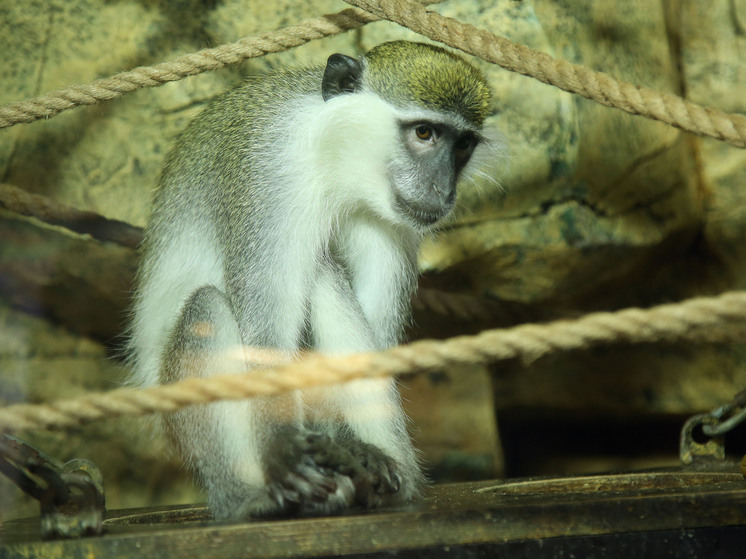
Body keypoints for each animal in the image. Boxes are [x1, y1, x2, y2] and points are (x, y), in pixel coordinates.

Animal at [128, 40, 492, 520]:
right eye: (424, 133)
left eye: (463, 144)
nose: (442, 190)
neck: (334, 163)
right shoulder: (271, 177)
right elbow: (264, 331)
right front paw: (284, 446)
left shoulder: (394, 223)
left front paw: (354, 449)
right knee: (211, 306)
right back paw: (247, 499)